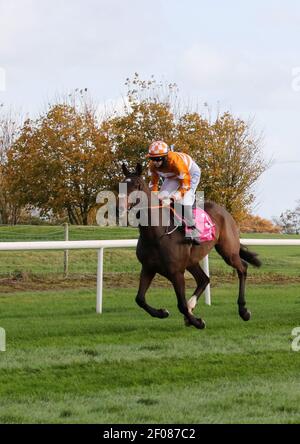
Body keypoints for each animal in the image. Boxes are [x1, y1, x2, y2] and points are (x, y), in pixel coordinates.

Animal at [119, 164, 260, 330]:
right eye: (121, 185)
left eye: (137, 185)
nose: (119, 208)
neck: (156, 234)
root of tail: (224, 210)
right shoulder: (148, 268)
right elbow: (139, 299)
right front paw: (162, 312)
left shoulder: (176, 272)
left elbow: (181, 305)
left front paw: (198, 322)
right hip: (191, 261)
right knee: (204, 279)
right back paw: (192, 307)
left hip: (228, 251)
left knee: (242, 268)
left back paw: (243, 310)